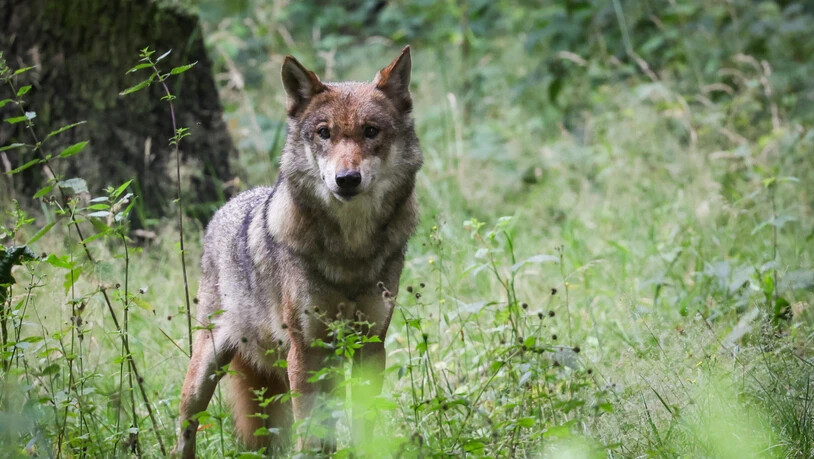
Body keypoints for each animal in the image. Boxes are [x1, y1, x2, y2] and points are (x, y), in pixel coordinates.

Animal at [171, 46, 422, 457]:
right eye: (324, 133)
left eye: (371, 131)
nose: (346, 179)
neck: (350, 250)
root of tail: (227, 206)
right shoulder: (305, 351)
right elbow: (309, 431)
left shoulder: (370, 346)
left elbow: (363, 424)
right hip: (205, 371)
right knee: (186, 426)